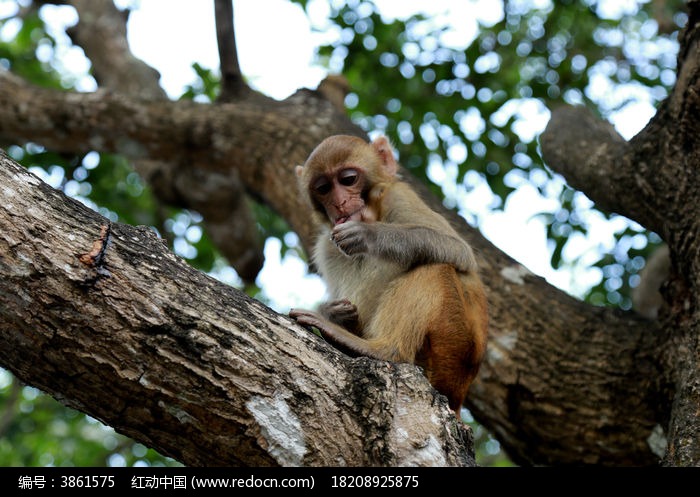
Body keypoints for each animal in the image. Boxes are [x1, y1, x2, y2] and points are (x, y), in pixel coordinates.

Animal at [288, 134, 486, 412]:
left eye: (348, 179)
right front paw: (335, 312)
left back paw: (382, 350)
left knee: (434, 267)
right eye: (324, 188)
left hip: (453, 346)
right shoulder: (326, 247)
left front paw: (369, 235)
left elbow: (458, 250)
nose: (339, 203)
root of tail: (459, 394)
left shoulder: (399, 196)